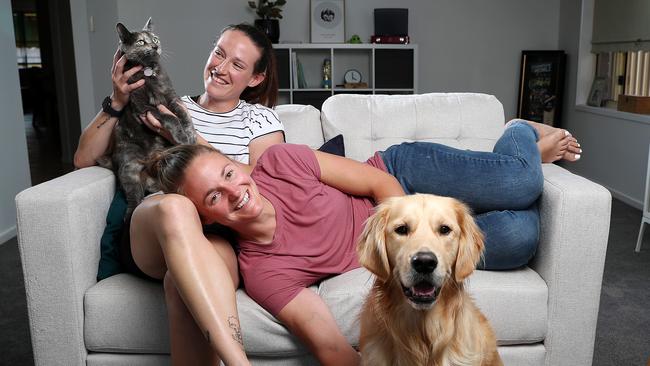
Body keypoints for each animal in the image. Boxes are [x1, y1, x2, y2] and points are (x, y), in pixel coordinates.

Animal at [104, 17, 194, 217]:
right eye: (140, 42)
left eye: (155, 38)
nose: (155, 46)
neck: (148, 73)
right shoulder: (144, 108)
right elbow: (170, 118)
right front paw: (181, 137)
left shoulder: (171, 97)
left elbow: (183, 114)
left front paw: (190, 135)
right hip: (129, 170)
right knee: (133, 201)